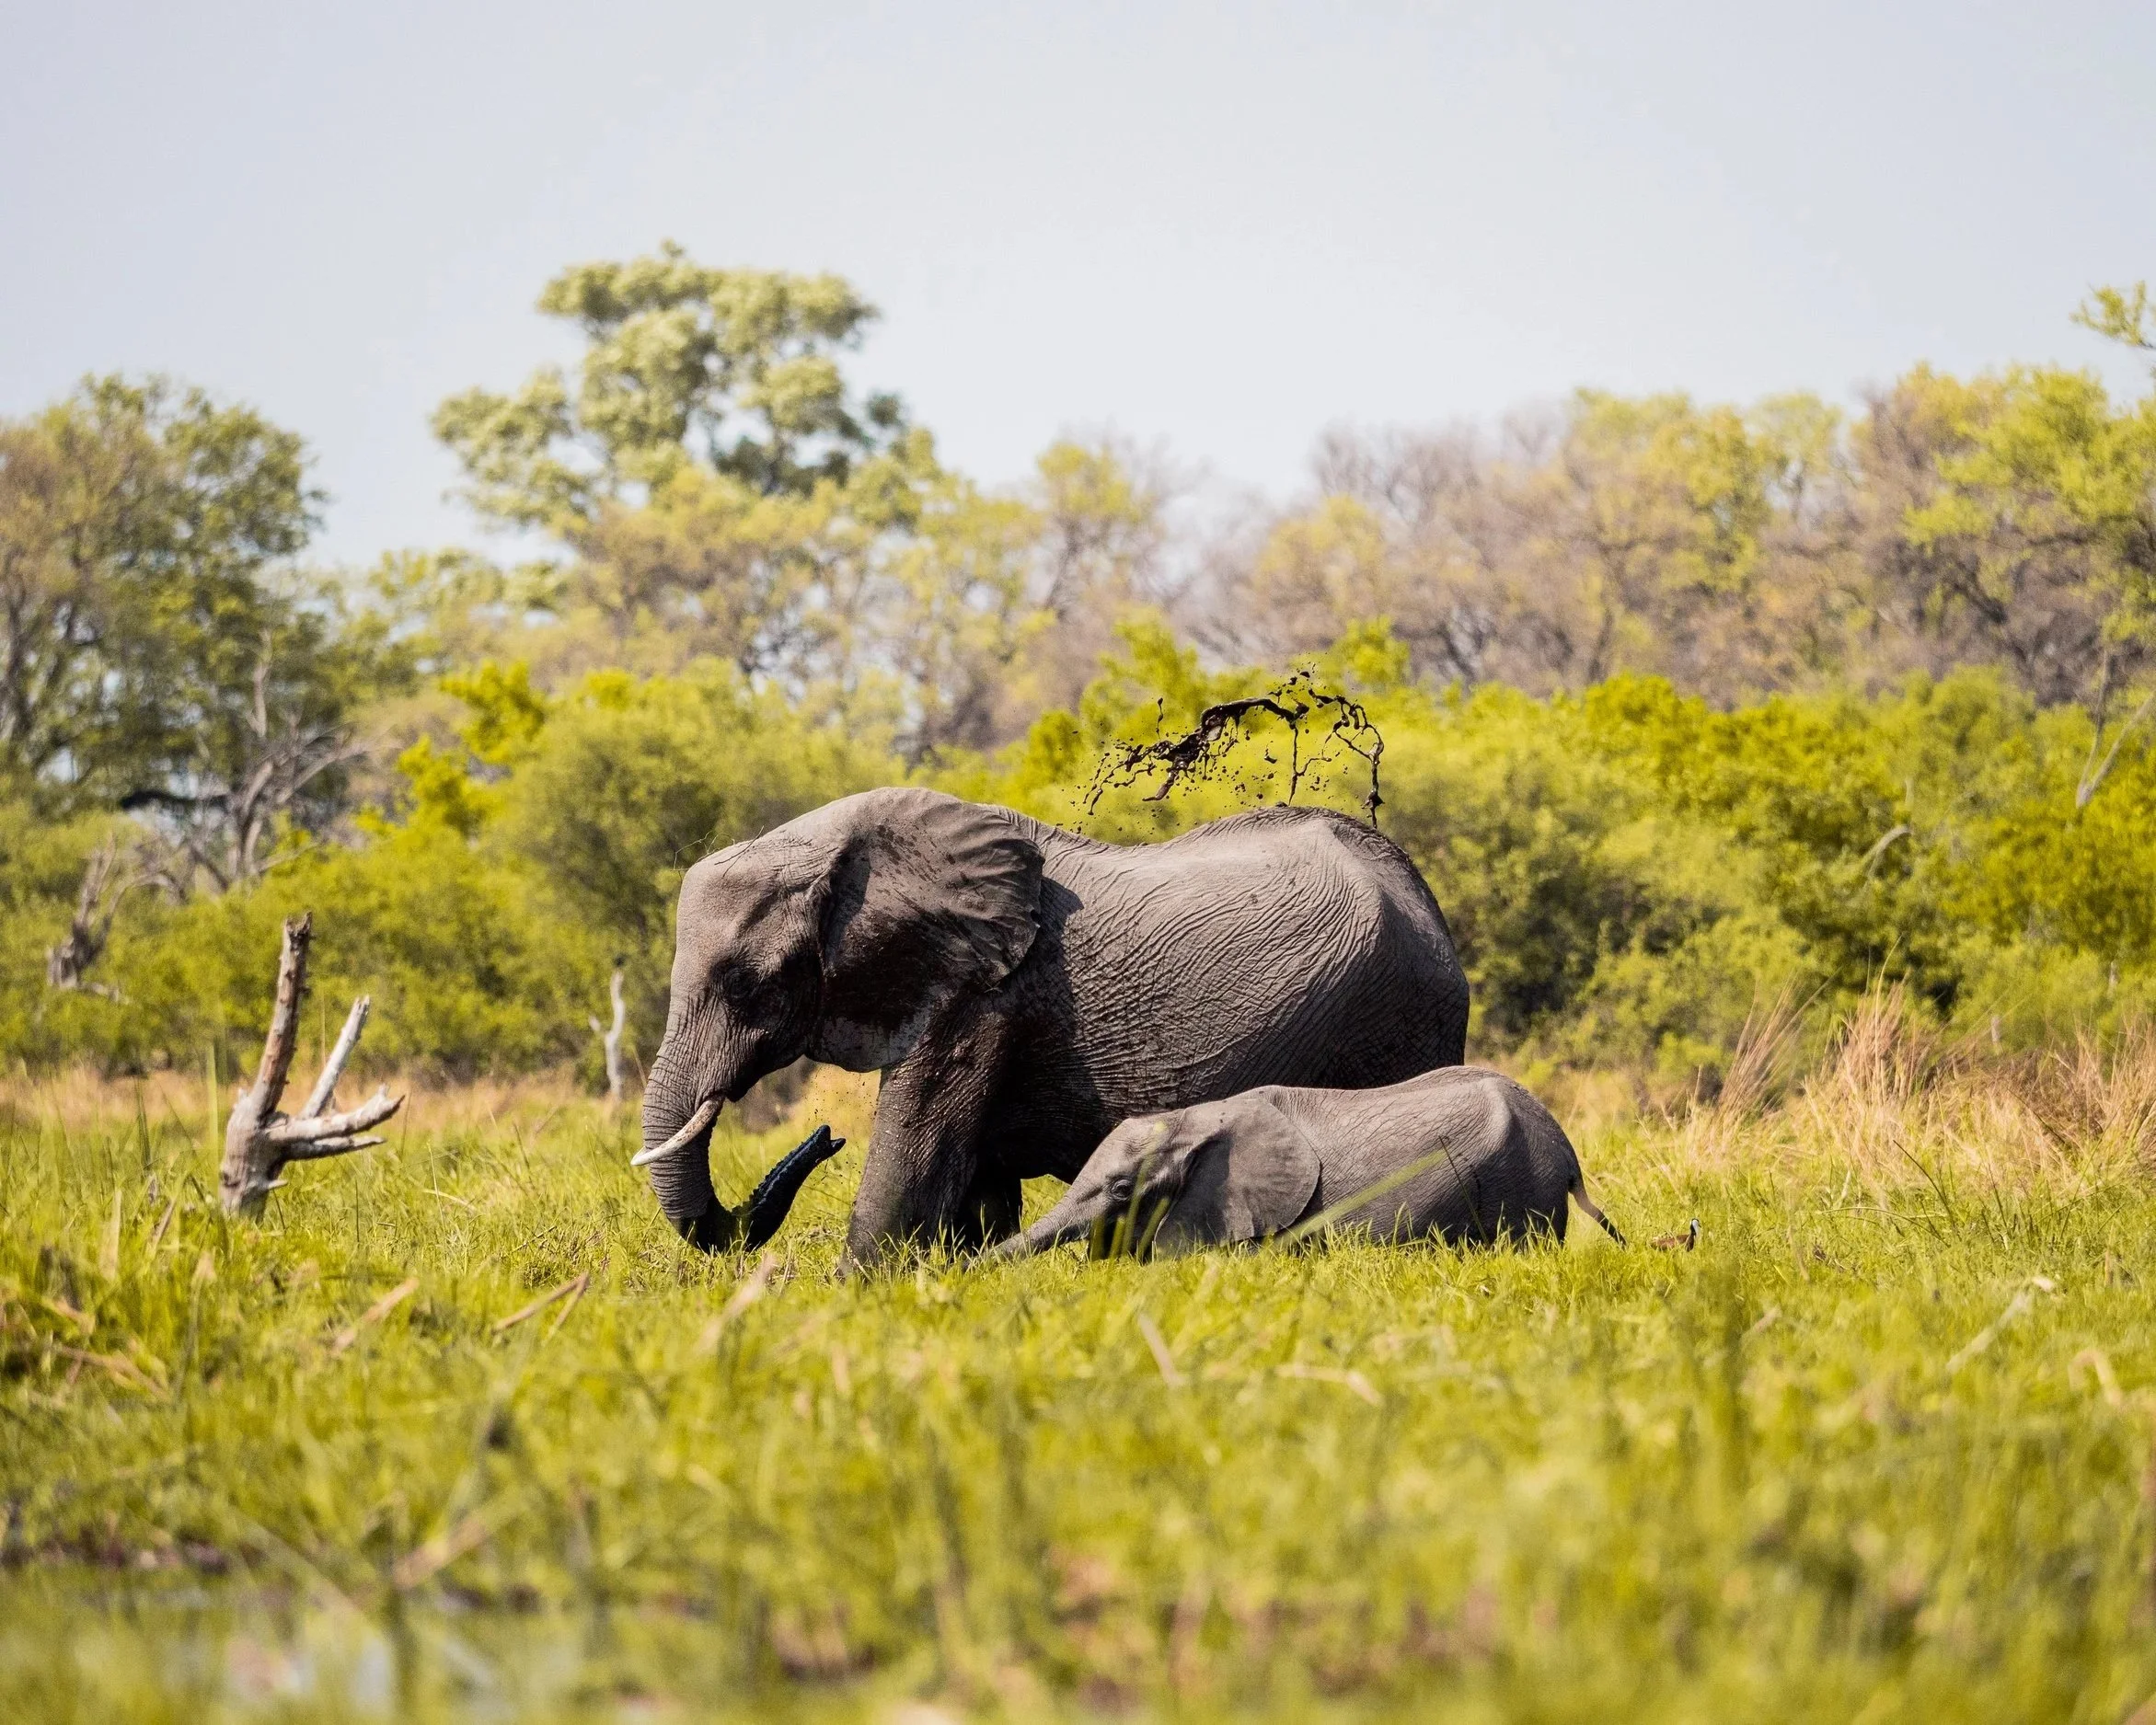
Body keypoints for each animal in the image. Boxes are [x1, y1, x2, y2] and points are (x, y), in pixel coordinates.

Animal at [637, 786, 1470, 1269]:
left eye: (744, 984)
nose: (822, 1136)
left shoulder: (984, 997)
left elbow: (914, 1145)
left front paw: (855, 1293)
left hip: (1394, 1016)